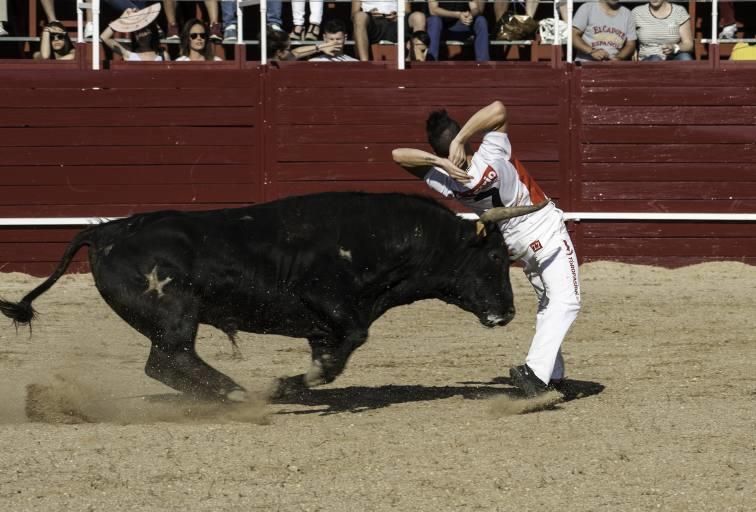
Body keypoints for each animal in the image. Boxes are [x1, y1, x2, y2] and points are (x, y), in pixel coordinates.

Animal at [0, 191, 544, 400]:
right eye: (497, 258)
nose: (508, 312)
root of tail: (105, 230)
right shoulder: (327, 300)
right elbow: (352, 341)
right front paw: (286, 384)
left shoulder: (325, 322)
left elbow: (335, 353)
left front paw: (297, 382)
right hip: (176, 312)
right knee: (168, 359)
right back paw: (241, 394)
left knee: (167, 362)